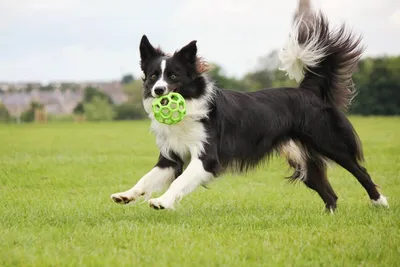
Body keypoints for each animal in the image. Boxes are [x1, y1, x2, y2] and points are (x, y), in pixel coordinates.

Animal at [109, 12, 388, 214]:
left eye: (174, 76)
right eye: (153, 75)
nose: (158, 90)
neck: (189, 105)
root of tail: (308, 90)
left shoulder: (207, 158)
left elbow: (180, 182)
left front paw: (162, 202)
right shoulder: (171, 157)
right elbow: (146, 179)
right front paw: (126, 195)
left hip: (329, 141)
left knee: (360, 171)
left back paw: (380, 202)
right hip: (303, 159)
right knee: (330, 193)